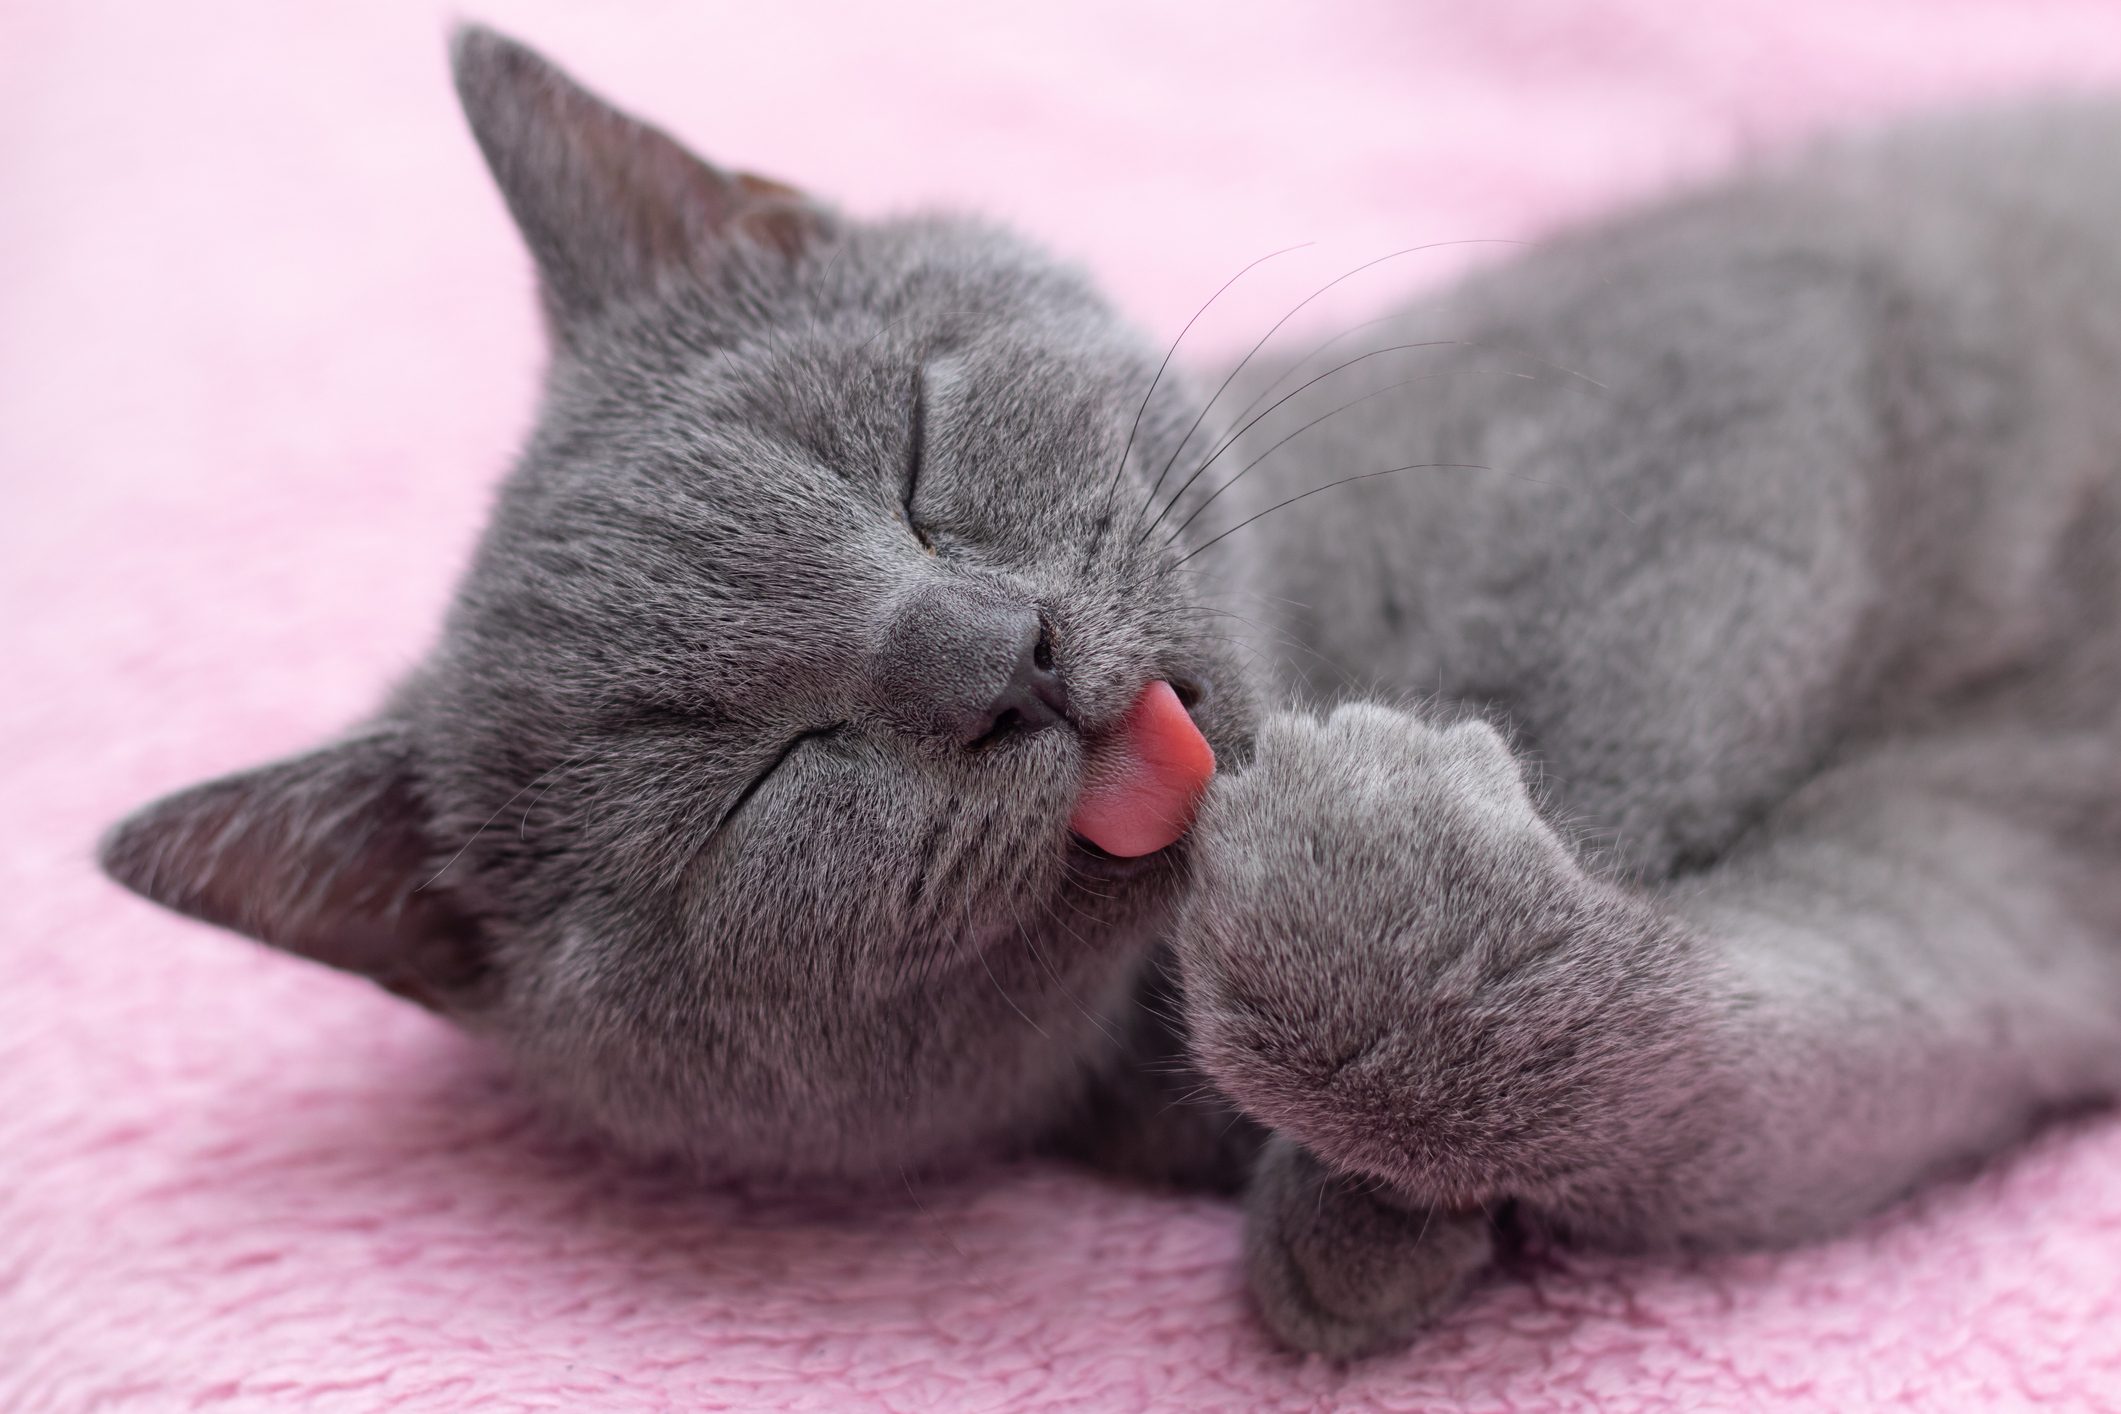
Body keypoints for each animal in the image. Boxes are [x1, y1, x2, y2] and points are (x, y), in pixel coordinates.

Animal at [95, 27, 2121, 1356]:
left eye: (910, 446)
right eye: (758, 779)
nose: (998, 651)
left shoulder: (1749, 341)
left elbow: (1612, 699)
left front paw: (1355, 1128)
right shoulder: (1999, 897)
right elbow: (1766, 1078)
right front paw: (1366, 1124)